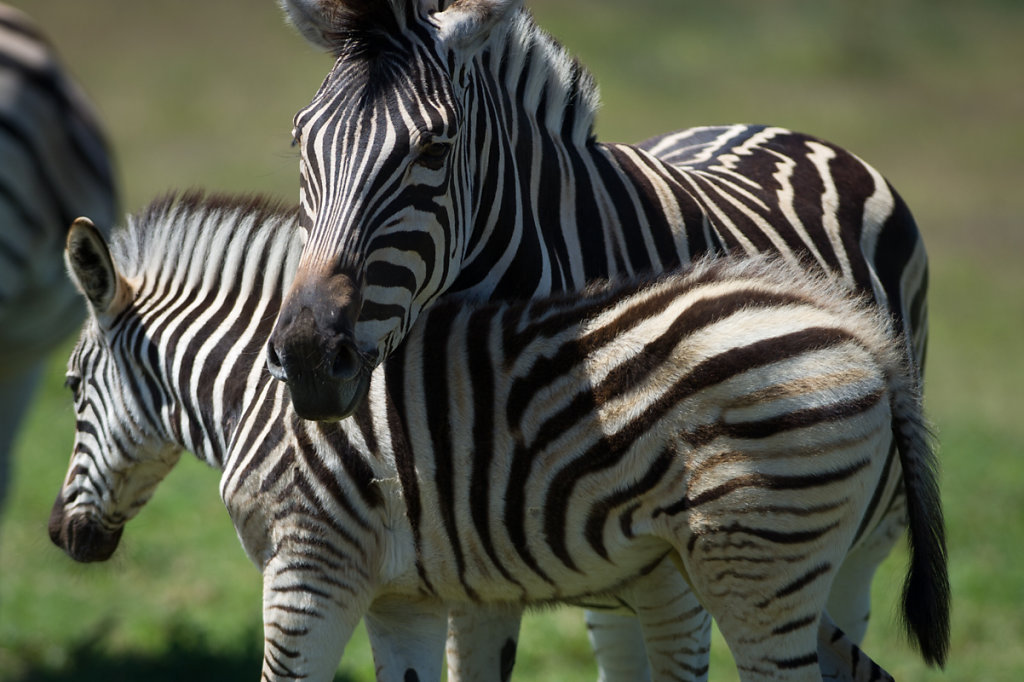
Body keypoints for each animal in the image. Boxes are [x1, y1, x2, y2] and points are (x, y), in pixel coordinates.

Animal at [46, 192, 942, 679]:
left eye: (72, 388)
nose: (59, 535)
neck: (261, 399)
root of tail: (860, 331)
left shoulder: (308, 567)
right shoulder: (398, 596)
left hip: (757, 563)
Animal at [262, 0, 929, 675]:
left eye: (433, 147)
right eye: (298, 138)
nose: (309, 356)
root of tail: (766, 127)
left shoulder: (678, 574)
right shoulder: (475, 557)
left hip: (860, 537)